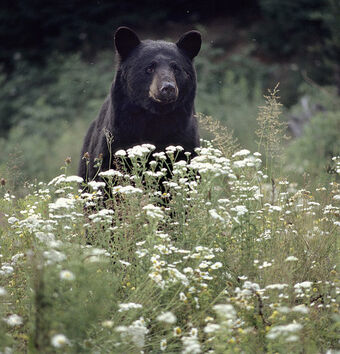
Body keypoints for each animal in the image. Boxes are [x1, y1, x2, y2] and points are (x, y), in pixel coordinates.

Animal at [78, 26, 201, 181]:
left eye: (176, 68)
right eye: (149, 68)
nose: (168, 88)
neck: (155, 116)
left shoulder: (185, 136)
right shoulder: (118, 136)